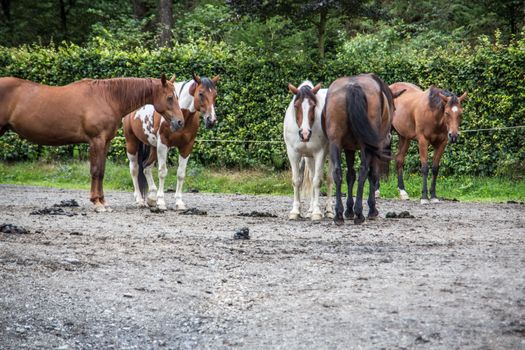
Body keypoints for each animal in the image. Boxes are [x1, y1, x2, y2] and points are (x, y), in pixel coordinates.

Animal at [0, 74, 184, 211]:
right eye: (169, 98)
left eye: (176, 96)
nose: (180, 122)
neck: (107, 97)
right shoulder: (97, 141)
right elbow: (96, 171)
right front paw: (97, 203)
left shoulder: (105, 142)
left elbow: (101, 171)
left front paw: (102, 202)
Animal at [123, 74, 219, 211]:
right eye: (201, 93)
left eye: (215, 95)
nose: (211, 120)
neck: (183, 115)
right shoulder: (163, 145)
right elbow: (162, 172)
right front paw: (161, 202)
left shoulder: (186, 147)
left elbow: (181, 174)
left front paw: (179, 202)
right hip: (132, 143)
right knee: (135, 169)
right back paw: (140, 200)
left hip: (153, 147)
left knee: (146, 167)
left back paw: (151, 197)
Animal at [284, 80, 334, 220]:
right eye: (296, 105)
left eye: (313, 106)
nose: (305, 134)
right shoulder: (293, 154)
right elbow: (297, 181)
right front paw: (295, 211)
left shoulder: (320, 154)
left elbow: (317, 181)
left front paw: (317, 212)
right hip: (309, 158)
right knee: (311, 178)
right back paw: (310, 210)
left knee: (329, 179)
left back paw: (329, 210)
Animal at [322, 74, 400, 226]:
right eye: (393, 109)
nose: (389, 138)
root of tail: (353, 86)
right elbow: (373, 175)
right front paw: (371, 210)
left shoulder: (349, 149)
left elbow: (350, 175)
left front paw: (348, 210)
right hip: (367, 146)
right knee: (364, 171)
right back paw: (359, 213)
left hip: (335, 142)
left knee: (338, 172)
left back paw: (339, 214)